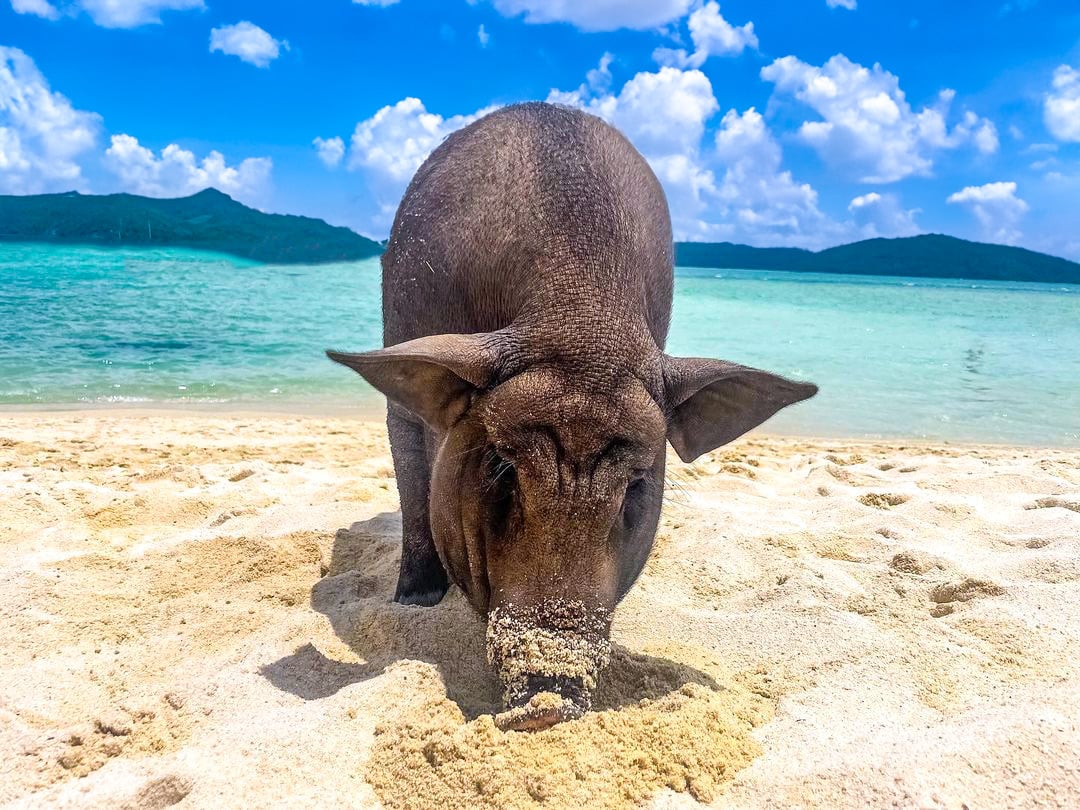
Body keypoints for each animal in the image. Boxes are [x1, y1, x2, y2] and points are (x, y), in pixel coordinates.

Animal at [328, 102, 816, 730]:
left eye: (636, 485)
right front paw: (413, 601)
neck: (578, 318)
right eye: (503, 471)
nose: (550, 700)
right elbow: (413, 489)